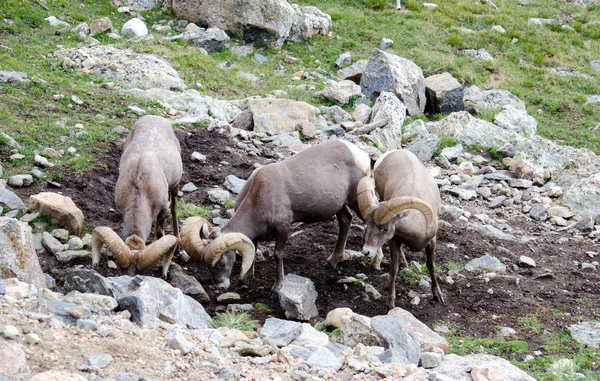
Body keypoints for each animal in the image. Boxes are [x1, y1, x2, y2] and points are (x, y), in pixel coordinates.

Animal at [90, 114, 182, 278]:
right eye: (122, 269)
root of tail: (155, 117)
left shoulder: (162, 209)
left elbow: (159, 233)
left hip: (175, 185)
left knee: (174, 208)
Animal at [180, 140, 372, 290]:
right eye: (207, 265)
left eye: (222, 263)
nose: (221, 287)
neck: (259, 196)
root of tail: (360, 154)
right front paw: (245, 279)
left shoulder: (283, 228)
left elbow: (278, 254)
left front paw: (277, 287)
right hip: (340, 205)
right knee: (346, 220)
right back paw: (332, 260)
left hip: (356, 199)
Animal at [356, 148, 446, 308]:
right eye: (367, 227)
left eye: (385, 229)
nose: (366, 251)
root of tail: (393, 152)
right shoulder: (394, 241)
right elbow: (394, 269)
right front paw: (391, 304)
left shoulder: (432, 242)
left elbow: (431, 265)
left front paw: (438, 295)